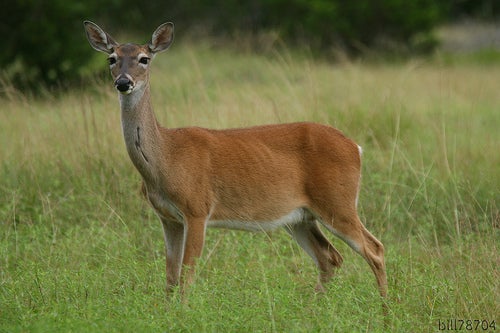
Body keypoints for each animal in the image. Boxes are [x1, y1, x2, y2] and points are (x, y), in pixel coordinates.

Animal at [83, 20, 386, 300]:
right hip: (300, 216)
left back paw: (386, 310)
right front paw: (167, 313)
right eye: (112, 58)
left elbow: (187, 275)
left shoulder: (197, 209)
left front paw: (182, 313)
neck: (166, 157)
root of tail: (356, 147)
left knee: (375, 249)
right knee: (330, 257)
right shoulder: (168, 217)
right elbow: (170, 277)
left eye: (144, 58)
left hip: (337, 201)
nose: (123, 82)